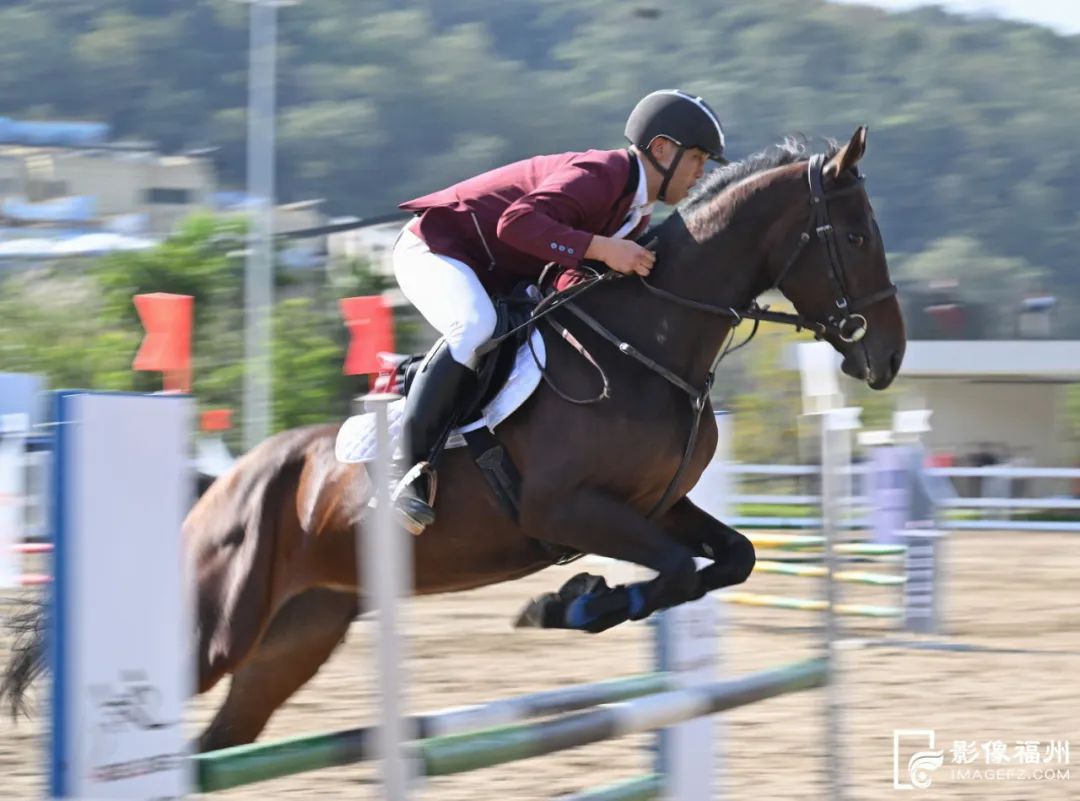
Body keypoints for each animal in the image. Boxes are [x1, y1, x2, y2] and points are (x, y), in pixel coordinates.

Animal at [4, 125, 902, 751]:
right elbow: (680, 568)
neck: (647, 341)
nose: (887, 357)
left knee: (217, 742)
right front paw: (567, 601)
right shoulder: (568, 508)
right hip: (214, 628)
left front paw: (574, 601)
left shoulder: (658, 504)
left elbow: (729, 559)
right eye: (857, 236)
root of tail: (216, 487)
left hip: (291, 637)